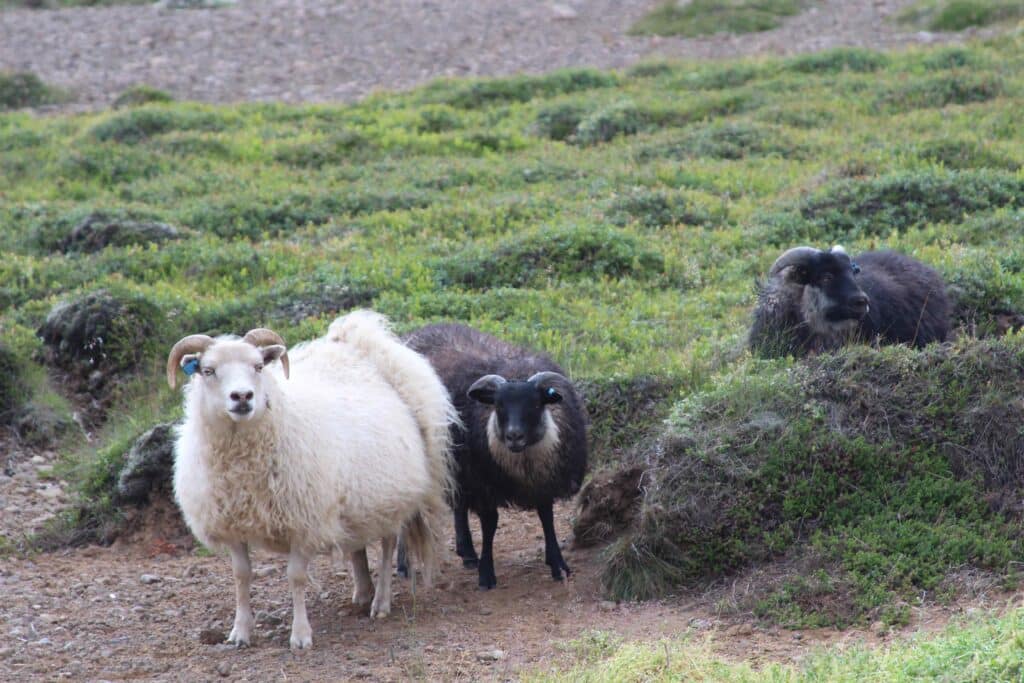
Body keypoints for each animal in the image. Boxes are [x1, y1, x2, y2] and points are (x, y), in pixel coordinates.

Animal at [165, 313, 454, 651]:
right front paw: (240, 632)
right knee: (357, 545)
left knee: (387, 547)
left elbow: (296, 578)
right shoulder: (233, 526)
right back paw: (362, 592)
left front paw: (301, 635)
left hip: (392, 496)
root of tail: (359, 346)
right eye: (208, 370)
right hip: (355, 500)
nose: (243, 397)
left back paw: (380, 602)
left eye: (258, 366)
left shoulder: (304, 523)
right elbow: (241, 576)